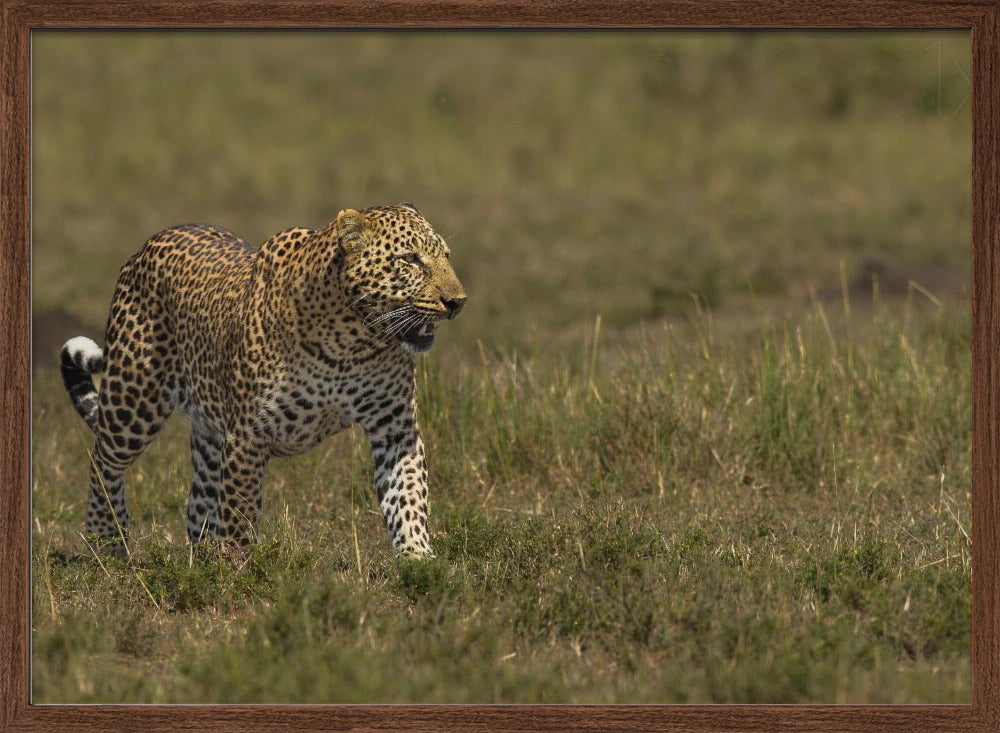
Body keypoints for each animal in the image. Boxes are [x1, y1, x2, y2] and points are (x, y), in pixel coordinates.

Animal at [60, 204, 466, 558]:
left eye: (446, 256)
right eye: (410, 259)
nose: (457, 301)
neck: (352, 340)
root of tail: (147, 245)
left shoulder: (395, 428)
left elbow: (408, 494)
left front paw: (417, 558)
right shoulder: (248, 436)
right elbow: (240, 512)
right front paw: (238, 571)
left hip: (209, 431)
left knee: (199, 502)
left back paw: (201, 559)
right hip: (133, 401)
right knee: (102, 460)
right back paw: (107, 542)